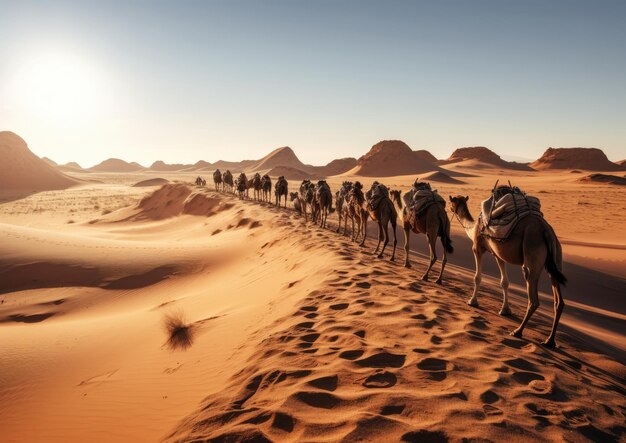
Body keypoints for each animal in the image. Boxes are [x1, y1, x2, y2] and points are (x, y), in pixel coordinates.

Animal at [448, 193, 564, 348]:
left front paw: (472, 301)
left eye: (452, 202)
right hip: (556, 259)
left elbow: (477, 277)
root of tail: (547, 232)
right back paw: (549, 341)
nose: (448, 206)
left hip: (532, 255)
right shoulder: (498, 254)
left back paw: (517, 332)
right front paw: (505, 310)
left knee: (533, 299)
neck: (474, 227)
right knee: (559, 301)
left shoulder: (477, 248)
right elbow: (505, 282)